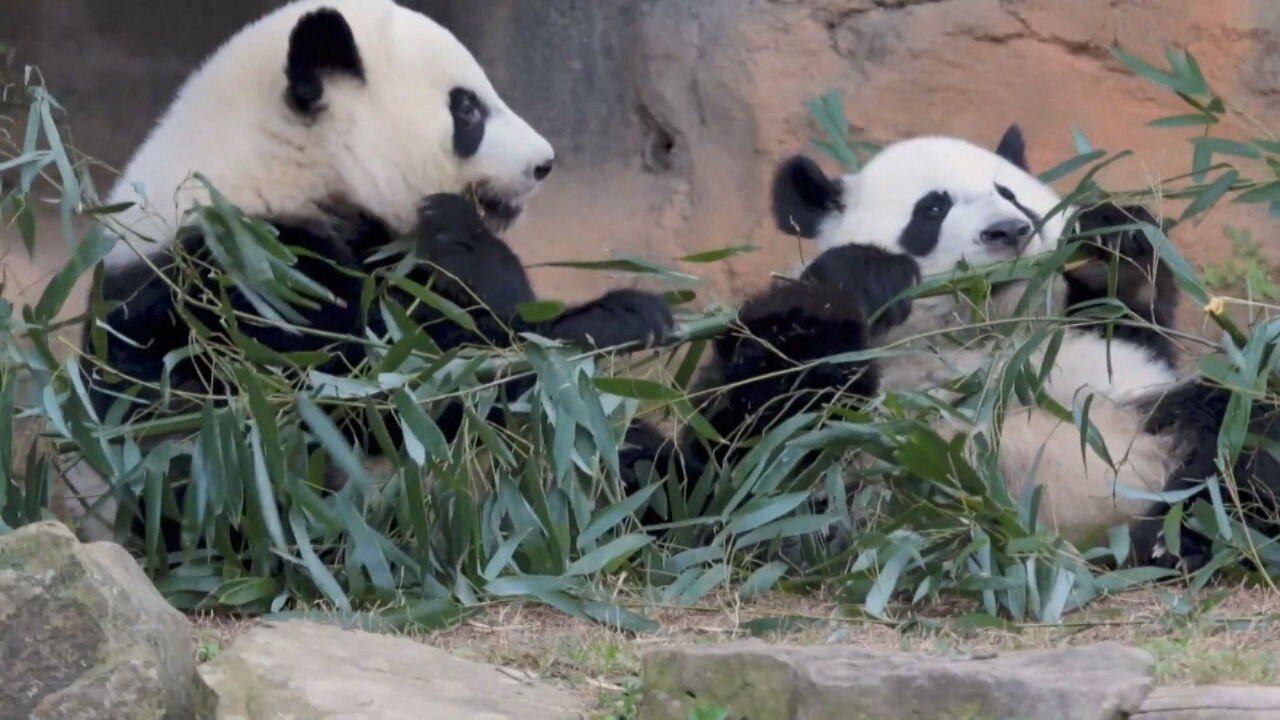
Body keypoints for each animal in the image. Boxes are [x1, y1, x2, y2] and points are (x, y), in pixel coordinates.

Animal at [87, 0, 674, 418]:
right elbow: (412, 377)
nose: (543, 163)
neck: (284, 166)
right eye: (466, 109)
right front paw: (620, 313)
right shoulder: (243, 281)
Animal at [654, 125, 1278, 569]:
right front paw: (861, 277)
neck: (976, 337)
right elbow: (750, 459)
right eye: (932, 209)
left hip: (1144, 426)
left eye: (1010, 194)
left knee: (1239, 425)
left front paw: (1115, 240)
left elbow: (1128, 321)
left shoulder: (1089, 356)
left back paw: (1189, 534)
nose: (1008, 232)